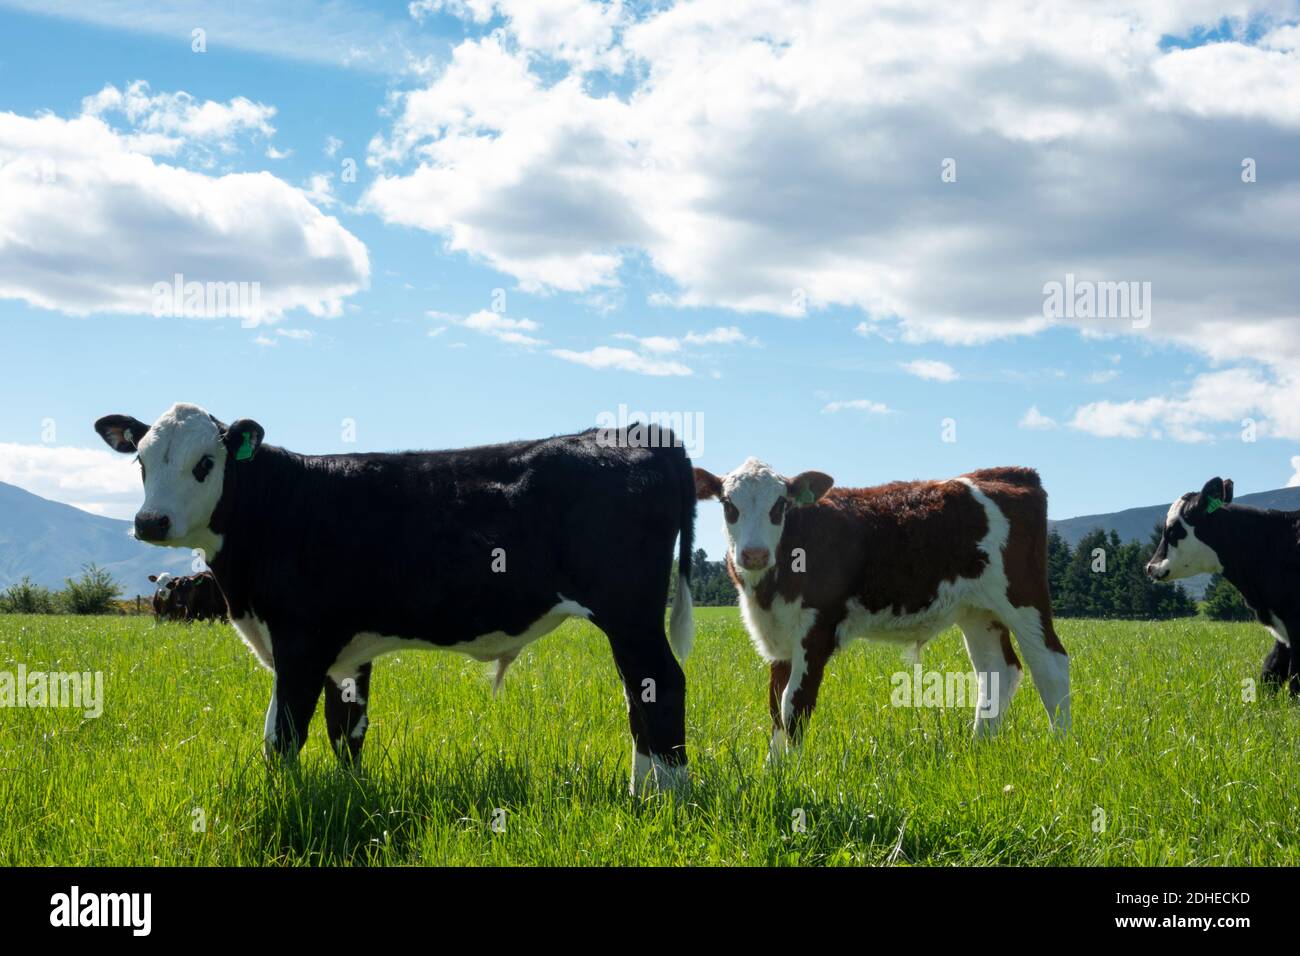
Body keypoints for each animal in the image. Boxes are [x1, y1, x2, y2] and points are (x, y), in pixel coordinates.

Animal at [95, 402, 696, 794]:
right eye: (141, 462)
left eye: (204, 463)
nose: (150, 522)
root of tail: (643, 432)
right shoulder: (345, 653)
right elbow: (346, 731)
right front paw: (346, 799)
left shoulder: (300, 644)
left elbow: (281, 736)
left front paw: (285, 803)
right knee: (637, 695)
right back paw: (642, 792)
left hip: (630, 613)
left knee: (661, 685)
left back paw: (665, 799)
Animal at [693, 459, 1071, 757]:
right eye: (728, 504)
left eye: (780, 505)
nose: (754, 554)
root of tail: (1008, 472)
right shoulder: (777, 637)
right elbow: (774, 706)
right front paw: (773, 769)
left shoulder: (817, 631)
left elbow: (794, 704)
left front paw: (792, 775)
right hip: (978, 612)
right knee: (997, 673)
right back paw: (979, 746)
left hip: (1024, 598)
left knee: (1050, 665)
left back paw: (1062, 747)